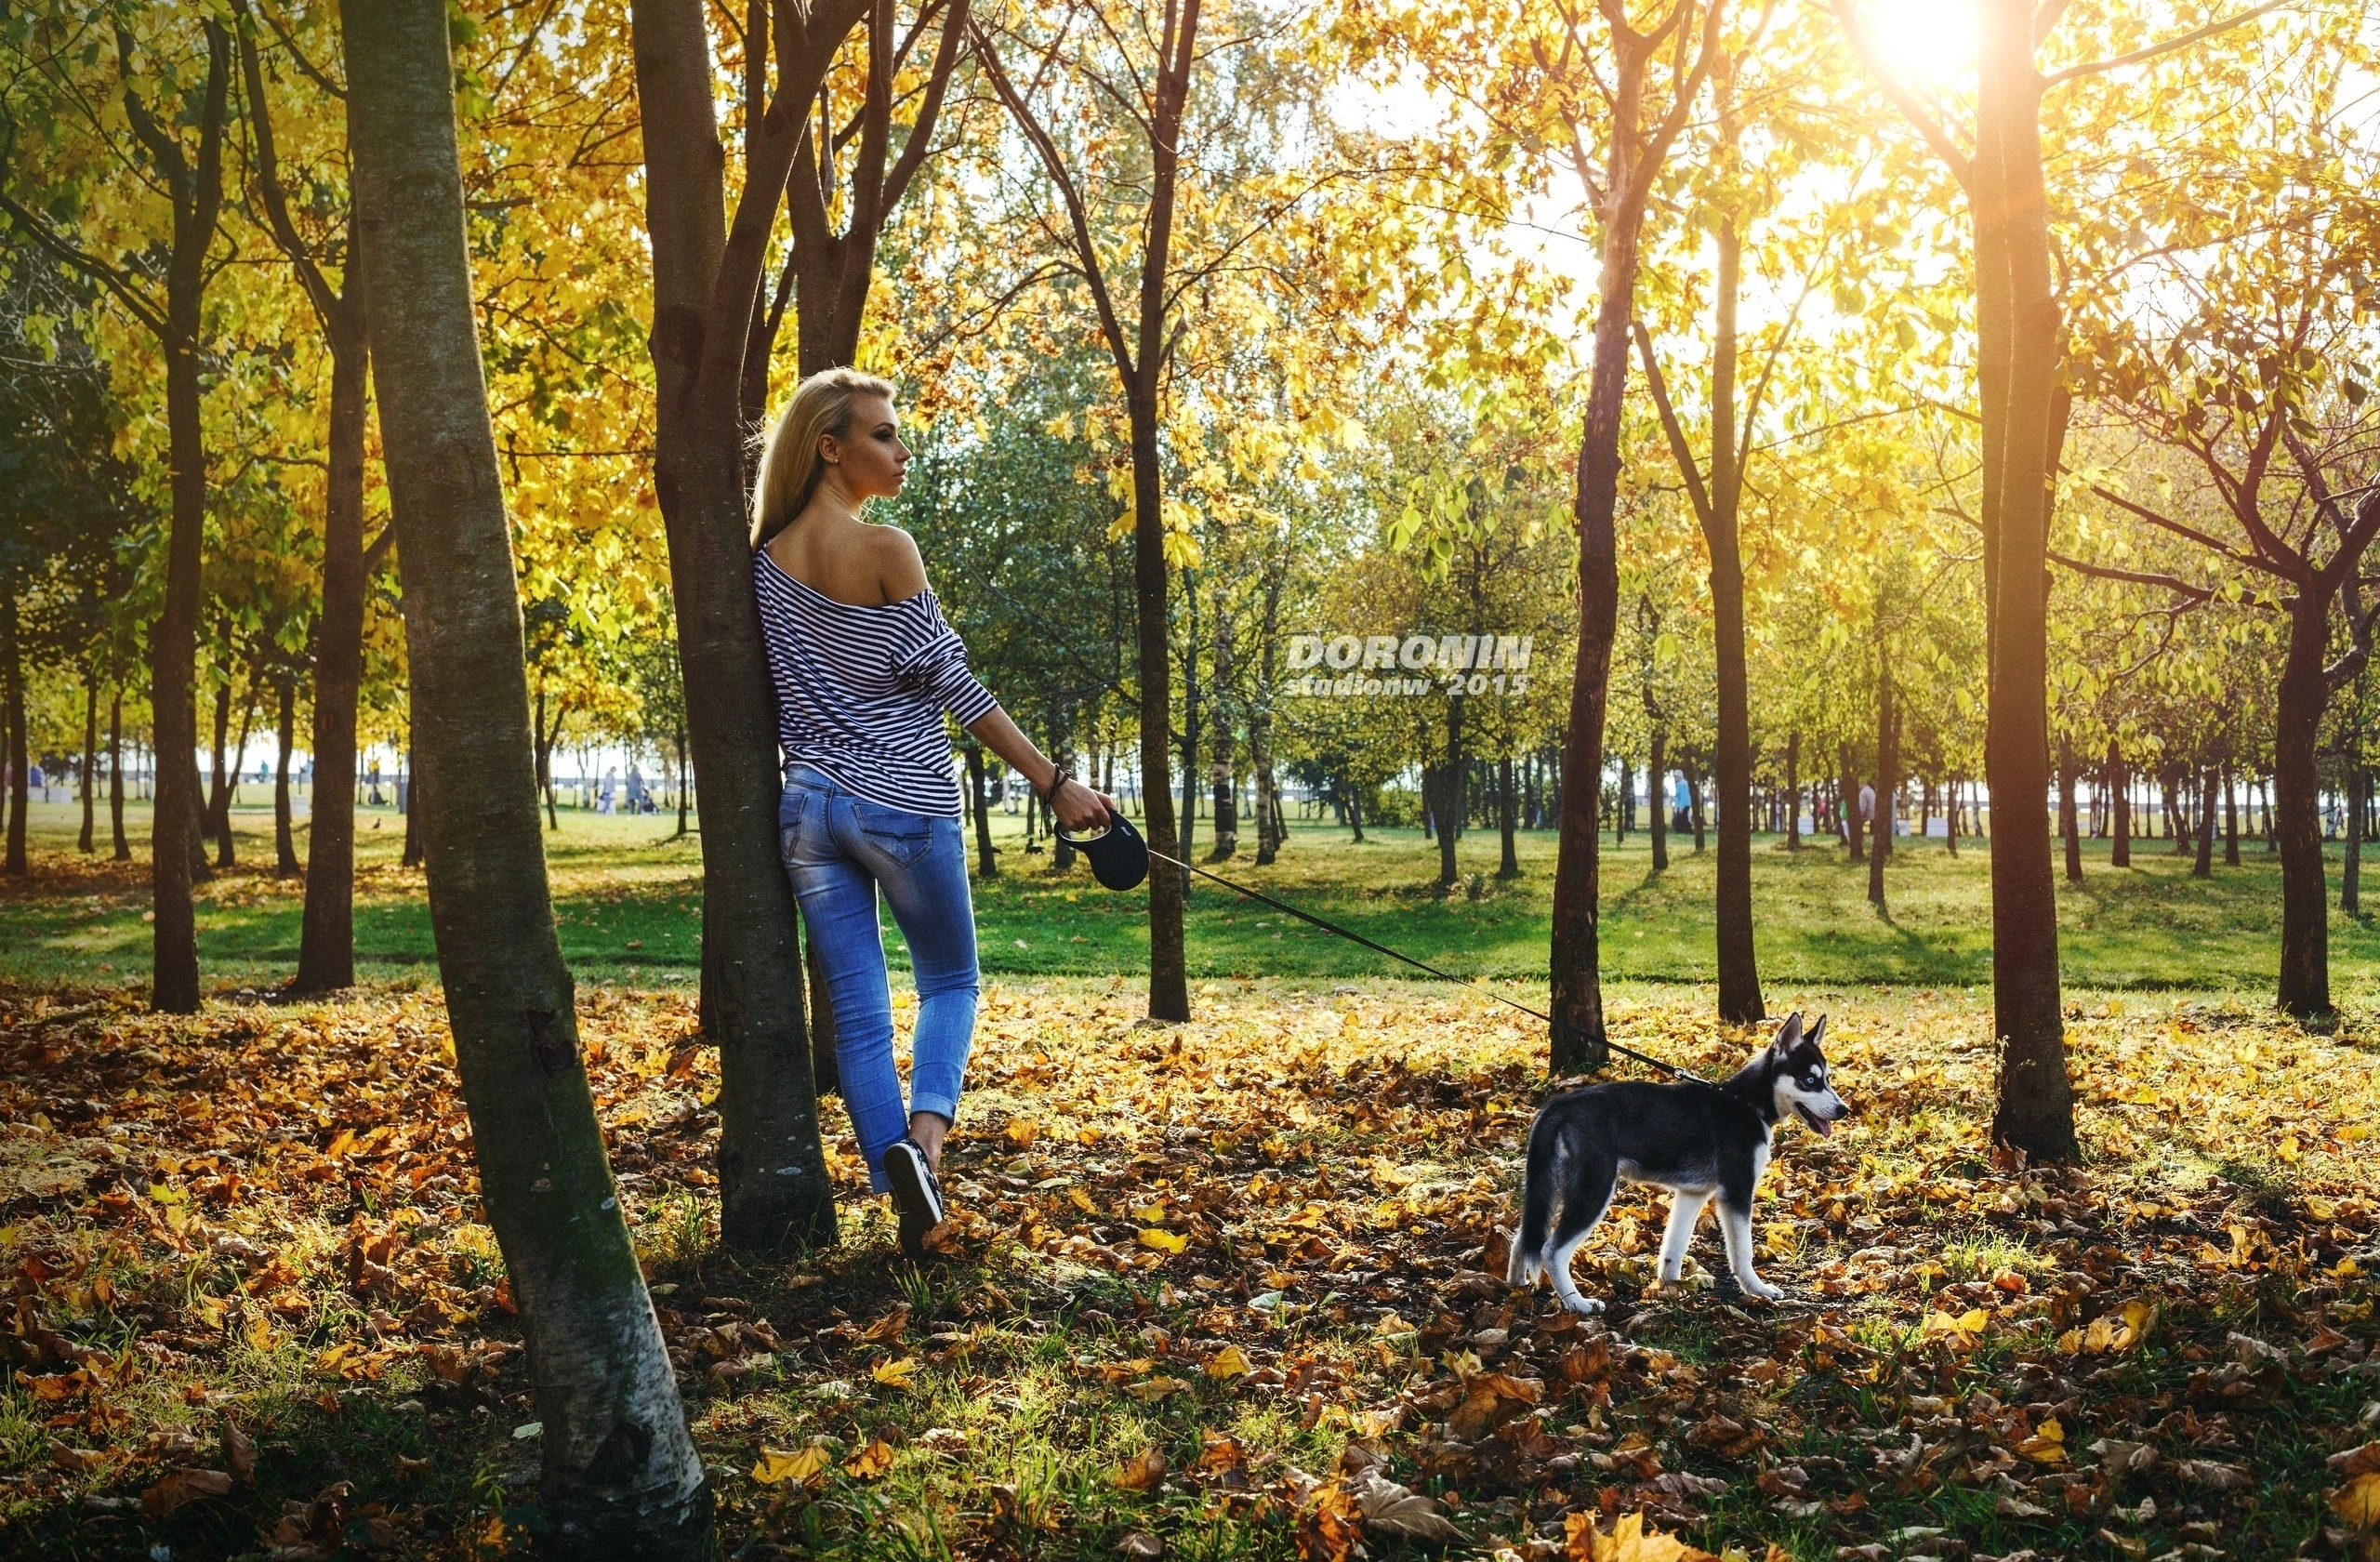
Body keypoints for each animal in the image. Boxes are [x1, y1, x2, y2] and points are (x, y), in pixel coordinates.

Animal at [1503, 1004, 1856, 1314]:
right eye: (1809, 1081)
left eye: (1827, 1078)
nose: (1844, 1110)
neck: (1746, 1103)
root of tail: (1559, 1104)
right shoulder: (1737, 1191)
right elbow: (1743, 1253)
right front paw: (1758, 1289)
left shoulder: (1692, 1194)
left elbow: (1673, 1248)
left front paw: (1671, 1289)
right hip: (1593, 1190)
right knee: (1551, 1251)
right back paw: (1577, 1303)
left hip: (1546, 1189)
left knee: (1522, 1239)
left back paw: (1516, 1288)